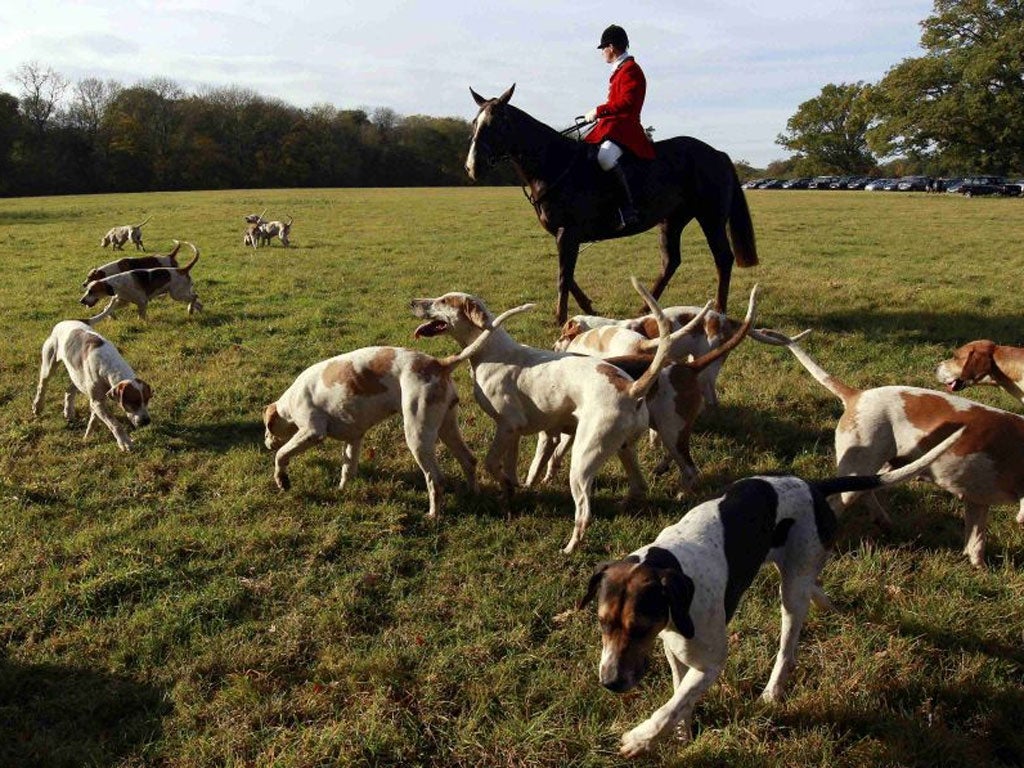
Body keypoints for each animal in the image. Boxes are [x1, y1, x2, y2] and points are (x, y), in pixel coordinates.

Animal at [468, 83, 757, 325]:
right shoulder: (563, 235)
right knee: (671, 261)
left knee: (722, 258)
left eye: (496, 124)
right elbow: (568, 275)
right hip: (672, 220)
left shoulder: (568, 233)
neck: (554, 163)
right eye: (474, 123)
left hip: (711, 218)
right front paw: (588, 307)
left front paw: (560, 319)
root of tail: (717, 153)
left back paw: (719, 310)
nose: (472, 167)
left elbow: (563, 276)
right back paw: (645, 309)